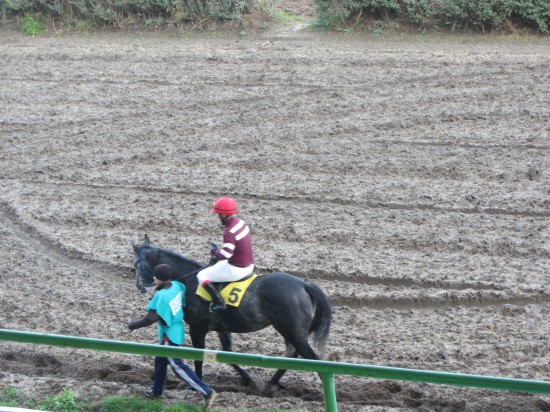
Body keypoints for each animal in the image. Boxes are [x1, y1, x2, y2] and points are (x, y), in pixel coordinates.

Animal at [134, 235, 332, 392]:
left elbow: (199, 357)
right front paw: (249, 380)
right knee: (293, 355)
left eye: (136, 263)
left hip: (293, 331)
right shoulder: (222, 328)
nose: (139, 286)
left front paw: (195, 384)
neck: (190, 280)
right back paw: (270, 385)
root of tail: (304, 284)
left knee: (312, 359)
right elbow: (228, 355)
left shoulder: (197, 328)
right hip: (289, 331)